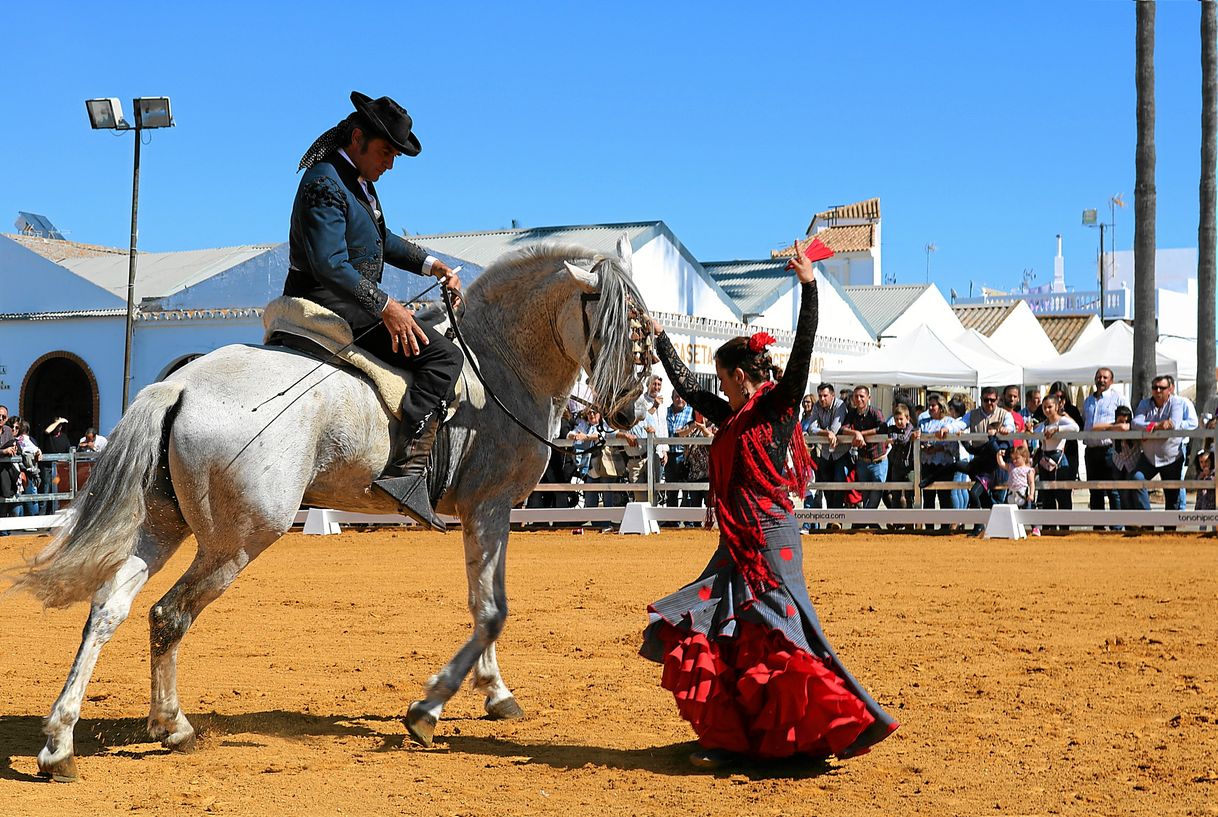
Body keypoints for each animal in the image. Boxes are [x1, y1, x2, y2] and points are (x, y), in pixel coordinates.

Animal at [19, 236, 647, 779]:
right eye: (624, 328)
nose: (627, 413)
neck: (498, 366)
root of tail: (180, 386)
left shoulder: (484, 514)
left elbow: (482, 603)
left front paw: (494, 693)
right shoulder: (488, 506)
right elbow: (492, 609)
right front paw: (429, 710)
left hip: (163, 527)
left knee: (109, 609)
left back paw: (62, 743)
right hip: (238, 540)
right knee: (169, 615)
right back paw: (170, 726)